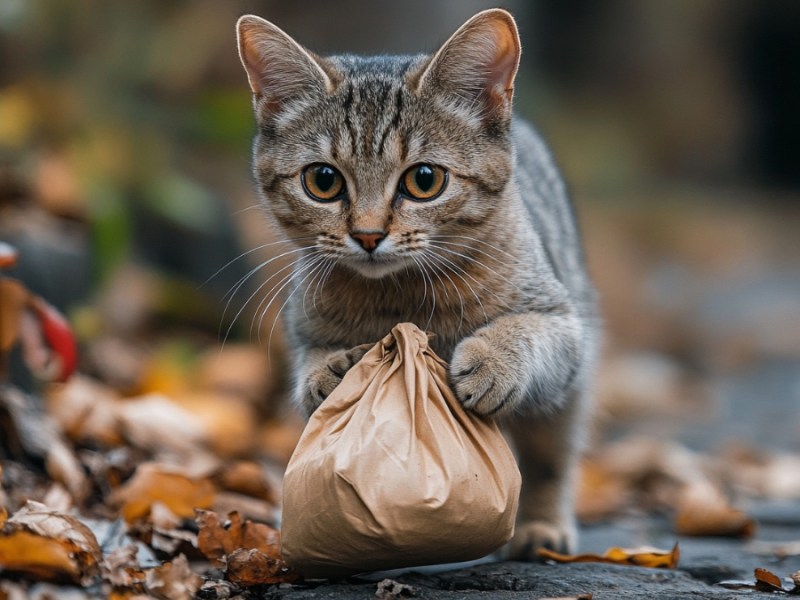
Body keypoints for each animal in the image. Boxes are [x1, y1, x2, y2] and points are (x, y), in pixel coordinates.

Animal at [234, 7, 596, 556]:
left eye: (424, 180)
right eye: (323, 181)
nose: (367, 234)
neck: (401, 298)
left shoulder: (565, 325)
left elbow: (526, 330)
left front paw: (493, 359)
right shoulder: (303, 330)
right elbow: (307, 368)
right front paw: (327, 373)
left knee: (551, 454)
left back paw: (541, 525)